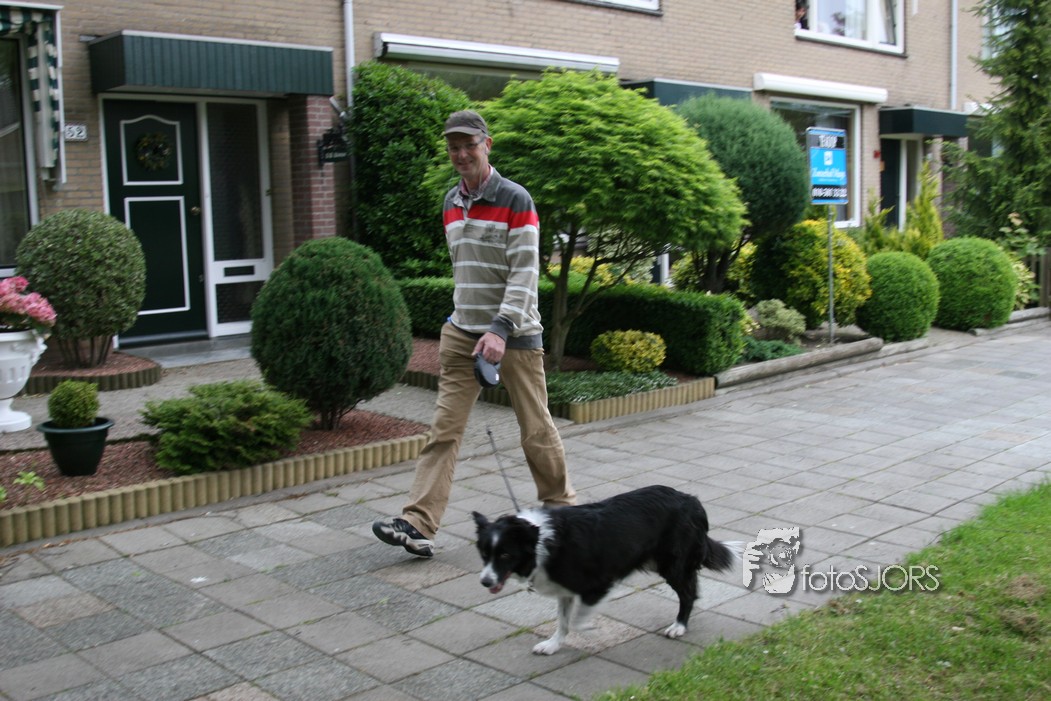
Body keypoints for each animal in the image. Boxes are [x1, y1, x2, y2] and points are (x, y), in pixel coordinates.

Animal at [472, 485, 737, 655]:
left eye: (505, 555)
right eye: (484, 554)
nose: (485, 582)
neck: (540, 542)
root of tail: (691, 500)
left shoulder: (599, 583)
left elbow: (577, 621)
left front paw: (591, 629)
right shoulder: (565, 590)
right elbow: (563, 621)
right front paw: (553, 645)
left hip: (671, 565)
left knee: (689, 593)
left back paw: (679, 626)